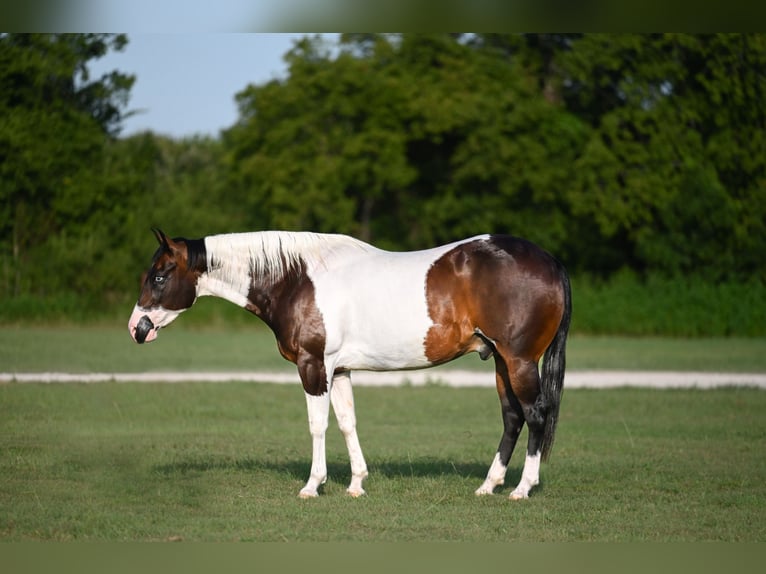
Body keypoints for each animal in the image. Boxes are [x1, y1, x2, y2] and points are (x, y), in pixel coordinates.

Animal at [128, 228, 571, 500]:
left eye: (160, 276)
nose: (137, 328)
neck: (296, 278)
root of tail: (550, 260)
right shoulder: (338, 370)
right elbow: (346, 422)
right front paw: (356, 484)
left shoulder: (313, 367)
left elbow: (317, 424)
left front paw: (313, 484)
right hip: (499, 361)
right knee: (512, 417)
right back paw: (489, 485)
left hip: (518, 361)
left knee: (535, 415)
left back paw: (521, 489)